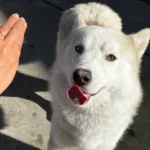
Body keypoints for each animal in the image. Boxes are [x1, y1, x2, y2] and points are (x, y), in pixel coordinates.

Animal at [48, 2, 150, 150]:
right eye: (79, 49)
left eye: (111, 57)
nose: (80, 76)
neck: (87, 113)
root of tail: (92, 4)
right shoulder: (58, 142)